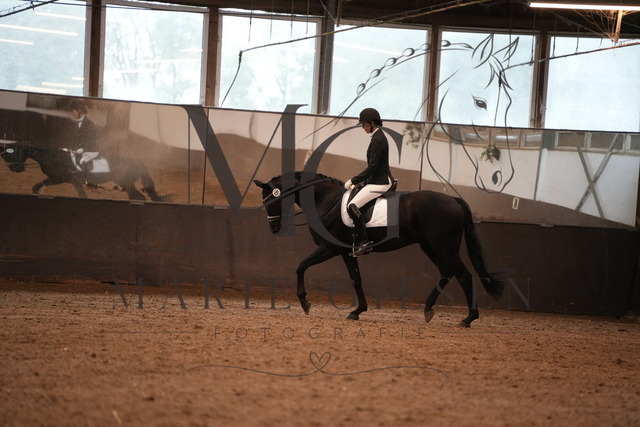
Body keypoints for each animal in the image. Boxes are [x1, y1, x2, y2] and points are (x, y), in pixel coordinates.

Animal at [0, 142, 169, 201]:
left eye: (9, 153)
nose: (16, 169)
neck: (52, 157)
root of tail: (138, 162)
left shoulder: (72, 181)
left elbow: (82, 195)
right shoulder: (56, 179)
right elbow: (36, 187)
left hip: (125, 183)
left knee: (139, 197)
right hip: (127, 184)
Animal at [254, 171, 507, 327]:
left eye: (270, 201)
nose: (274, 228)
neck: (327, 201)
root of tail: (454, 200)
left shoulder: (329, 247)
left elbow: (300, 266)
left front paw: (305, 303)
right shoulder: (346, 251)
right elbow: (356, 279)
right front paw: (357, 311)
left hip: (445, 247)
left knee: (463, 275)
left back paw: (468, 318)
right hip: (430, 247)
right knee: (447, 272)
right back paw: (428, 309)